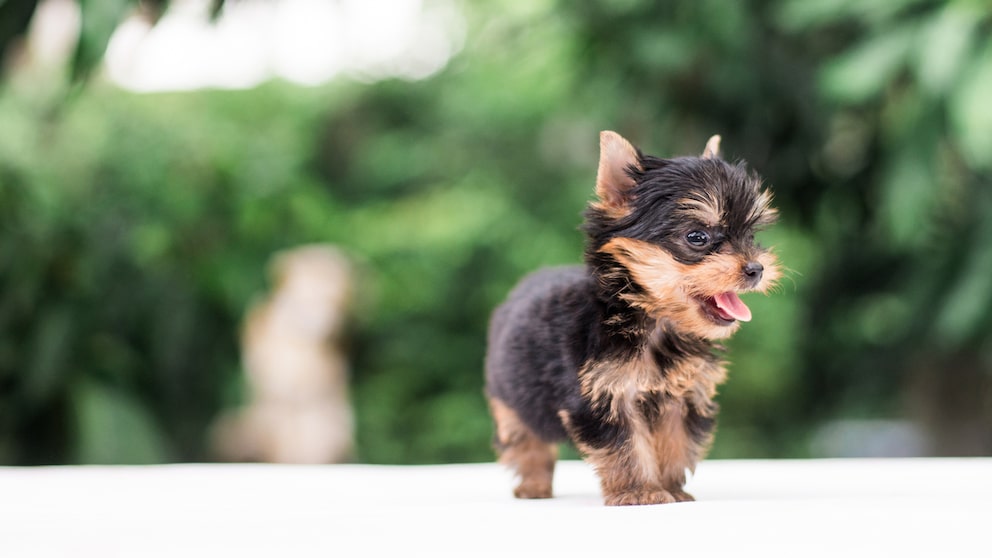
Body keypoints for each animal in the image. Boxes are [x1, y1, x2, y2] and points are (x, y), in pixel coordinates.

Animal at [484, 131, 780, 508]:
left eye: (751, 235)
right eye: (697, 237)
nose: (756, 268)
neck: (652, 320)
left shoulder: (681, 395)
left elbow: (674, 442)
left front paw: (671, 488)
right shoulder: (603, 393)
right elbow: (624, 445)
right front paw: (639, 490)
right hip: (509, 394)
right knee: (526, 436)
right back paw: (534, 485)